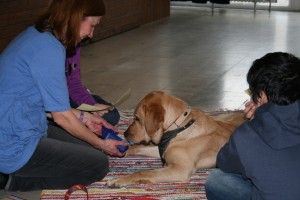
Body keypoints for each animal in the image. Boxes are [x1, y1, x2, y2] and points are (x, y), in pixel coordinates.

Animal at [106, 90, 245, 188]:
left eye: (137, 118)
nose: (125, 133)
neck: (179, 128)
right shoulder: (162, 150)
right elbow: (137, 148)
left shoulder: (180, 169)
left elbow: (144, 173)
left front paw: (118, 179)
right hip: (221, 117)